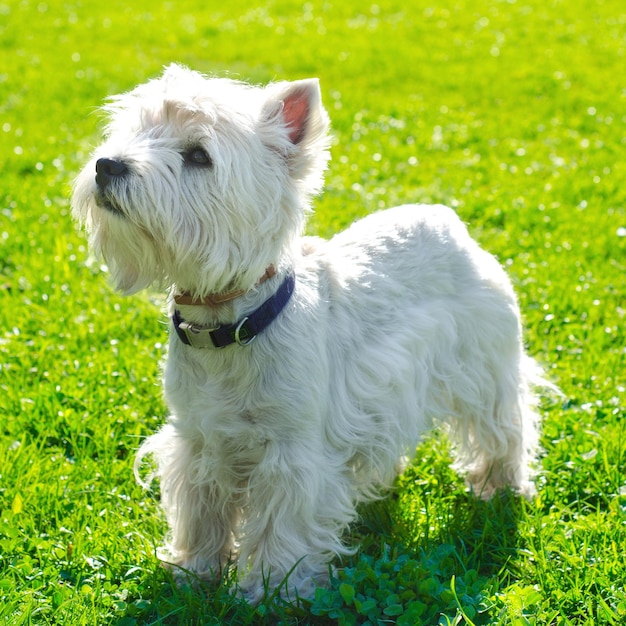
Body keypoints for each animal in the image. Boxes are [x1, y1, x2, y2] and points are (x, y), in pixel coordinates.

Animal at [72, 63, 544, 600]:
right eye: (136, 130)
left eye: (198, 155)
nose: (107, 165)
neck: (228, 326)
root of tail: (451, 223)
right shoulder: (196, 438)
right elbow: (201, 512)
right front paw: (193, 571)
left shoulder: (292, 452)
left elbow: (281, 526)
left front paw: (272, 591)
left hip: (487, 366)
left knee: (504, 425)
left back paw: (501, 487)